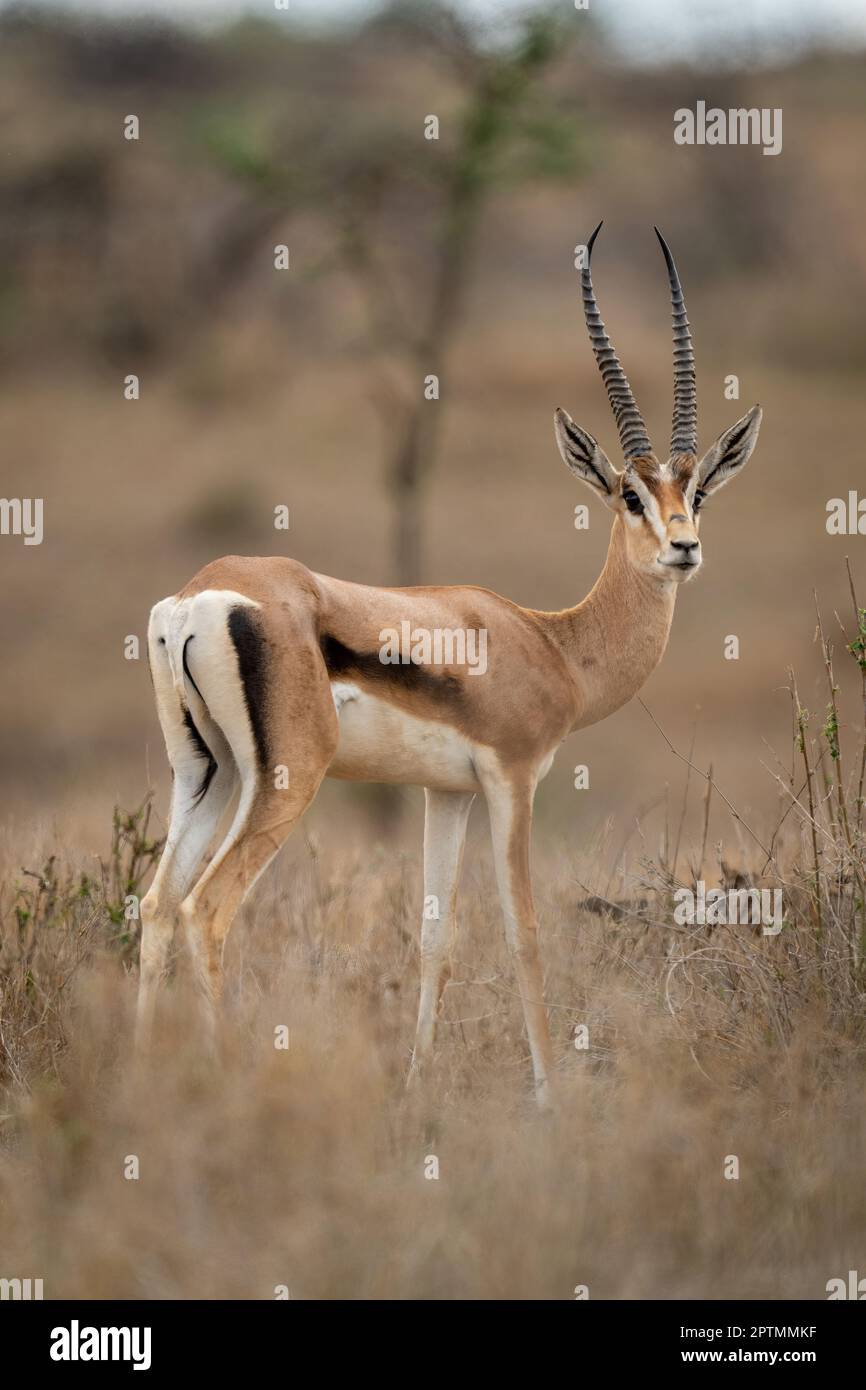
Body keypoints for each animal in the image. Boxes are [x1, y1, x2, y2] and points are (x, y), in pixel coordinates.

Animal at [137, 225, 762, 1107]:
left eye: (697, 492)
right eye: (629, 495)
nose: (684, 547)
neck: (554, 642)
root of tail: (198, 597)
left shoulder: (447, 794)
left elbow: (436, 933)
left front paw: (417, 1085)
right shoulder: (512, 780)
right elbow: (523, 930)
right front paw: (547, 1096)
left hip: (208, 771)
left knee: (157, 906)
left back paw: (133, 1079)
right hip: (283, 780)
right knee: (207, 909)